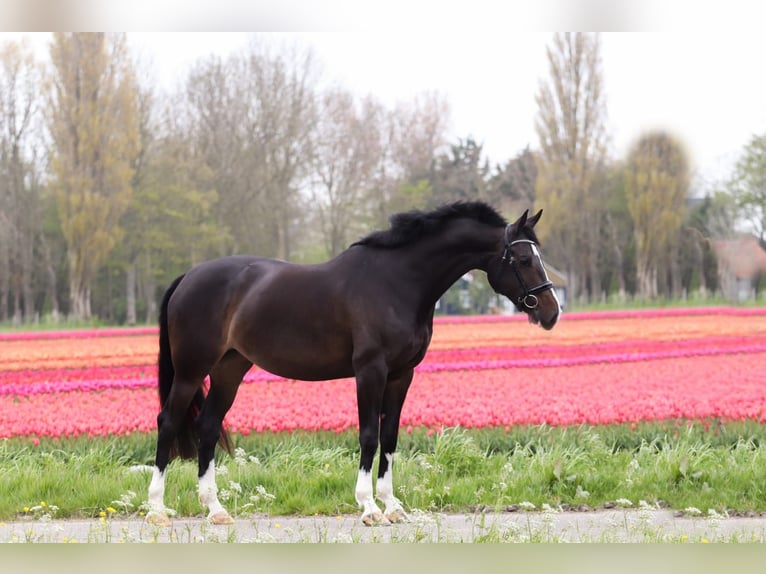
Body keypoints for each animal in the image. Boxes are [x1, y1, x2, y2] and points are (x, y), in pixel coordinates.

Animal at [146, 201, 564, 528]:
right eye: (524, 259)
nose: (551, 312)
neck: (397, 282)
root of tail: (189, 276)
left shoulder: (401, 375)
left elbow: (390, 437)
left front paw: (392, 506)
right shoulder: (370, 372)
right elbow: (368, 435)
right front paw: (369, 507)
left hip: (229, 370)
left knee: (207, 426)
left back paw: (215, 509)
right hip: (190, 370)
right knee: (168, 422)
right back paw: (156, 509)